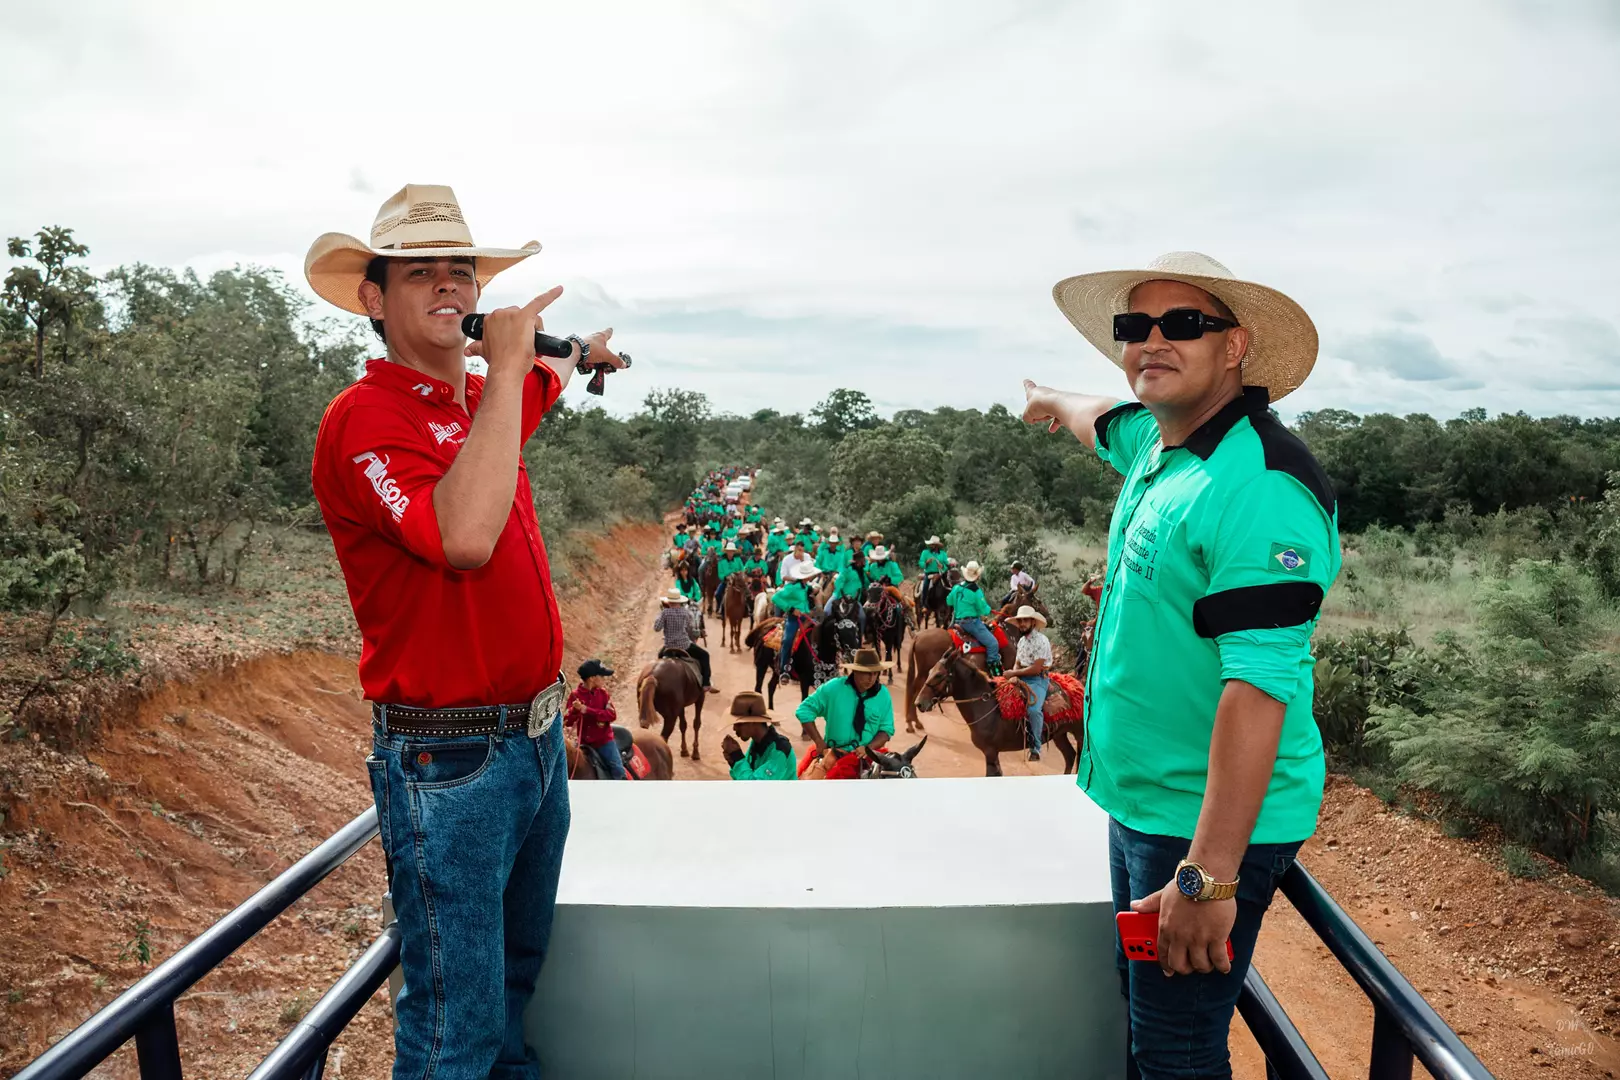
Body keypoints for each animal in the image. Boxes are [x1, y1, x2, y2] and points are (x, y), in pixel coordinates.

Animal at [920, 650, 1082, 777]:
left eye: (938, 675)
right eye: (929, 672)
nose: (919, 703)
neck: (986, 705)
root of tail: (1078, 685)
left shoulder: (990, 752)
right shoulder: (992, 754)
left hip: (1079, 735)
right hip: (1060, 734)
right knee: (1070, 756)